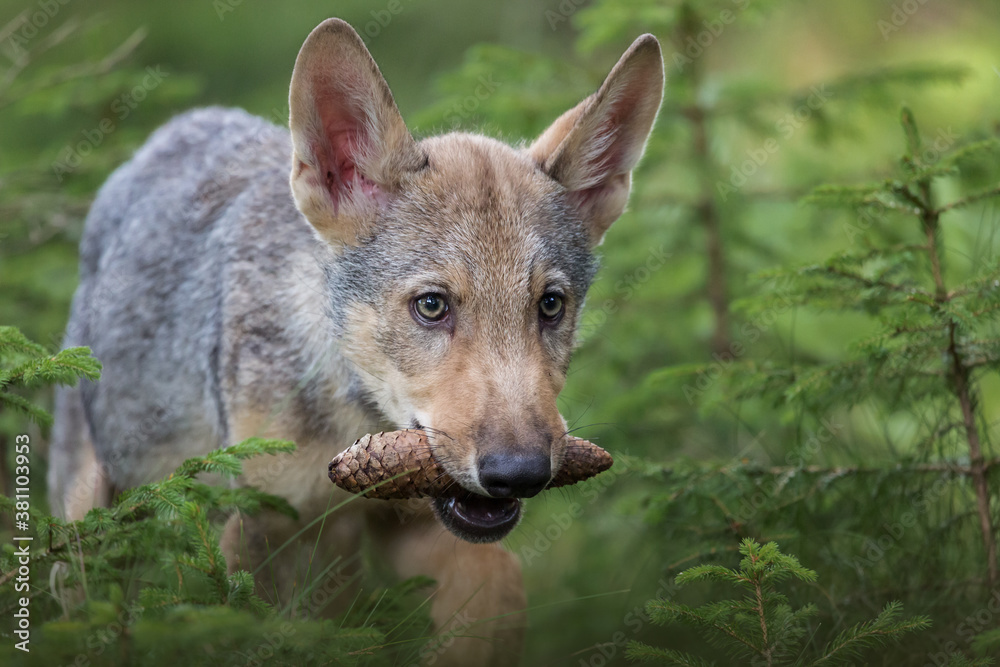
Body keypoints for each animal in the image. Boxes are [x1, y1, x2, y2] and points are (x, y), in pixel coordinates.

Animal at [48, 18, 663, 665]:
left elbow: (492, 597)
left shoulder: (421, 522)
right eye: (432, 306)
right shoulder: (260, 532)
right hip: (96, 529)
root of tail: (169, 133)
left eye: (550, 306)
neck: (349, 421)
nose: (519, 473)